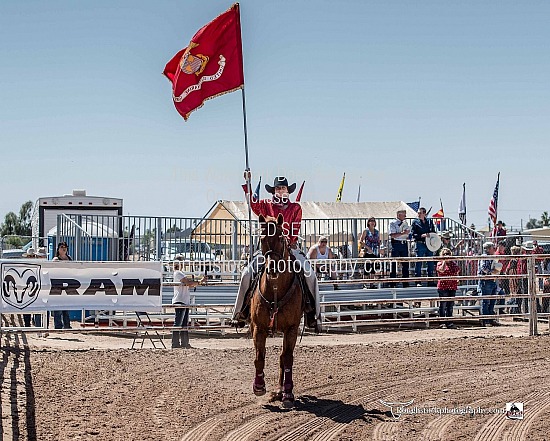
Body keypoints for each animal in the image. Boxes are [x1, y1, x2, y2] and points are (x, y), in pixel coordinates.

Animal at [251, 212, 306, 406]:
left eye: (281, 238)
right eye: (262, 238)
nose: (272, 268)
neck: (275, 289)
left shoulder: (291, 328)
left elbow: (287, 358)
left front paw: (288, 393)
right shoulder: (258, 327)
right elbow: (259, 357)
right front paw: (259, 387)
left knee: (283, 357)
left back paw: (282, 391)